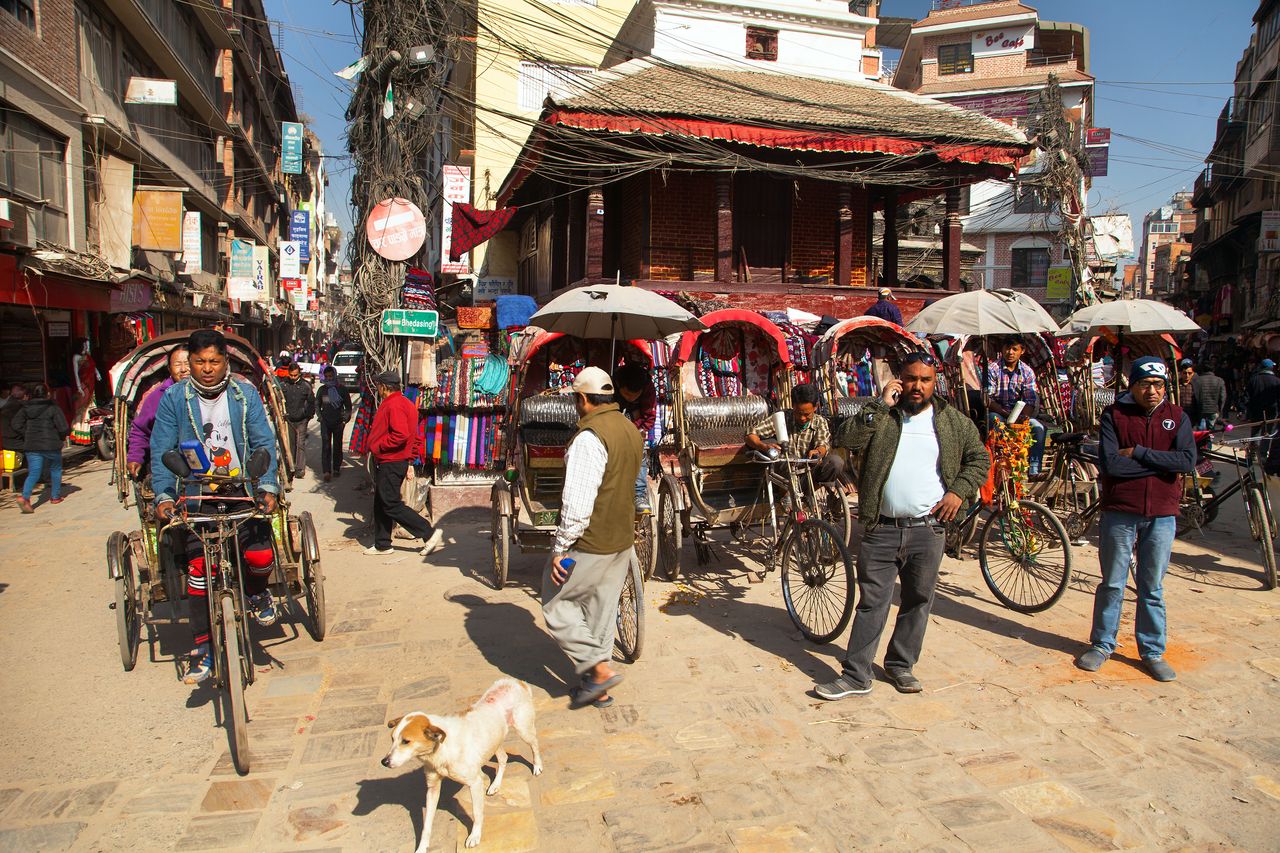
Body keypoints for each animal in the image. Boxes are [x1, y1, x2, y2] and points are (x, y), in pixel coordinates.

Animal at [378, 676, 540, 845]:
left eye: (406, 741)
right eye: (392, 739)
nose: (384, 762)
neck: (441, 750)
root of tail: (515, 681)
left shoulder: (475, 783)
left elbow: (477, 813)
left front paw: (474, 836)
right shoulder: (432, 788)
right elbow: (426, 825)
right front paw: (421, 847)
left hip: (523, 730)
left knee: (535, 744)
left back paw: (537, 766)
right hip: (495, 740)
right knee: (504, 757)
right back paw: (495, 785)